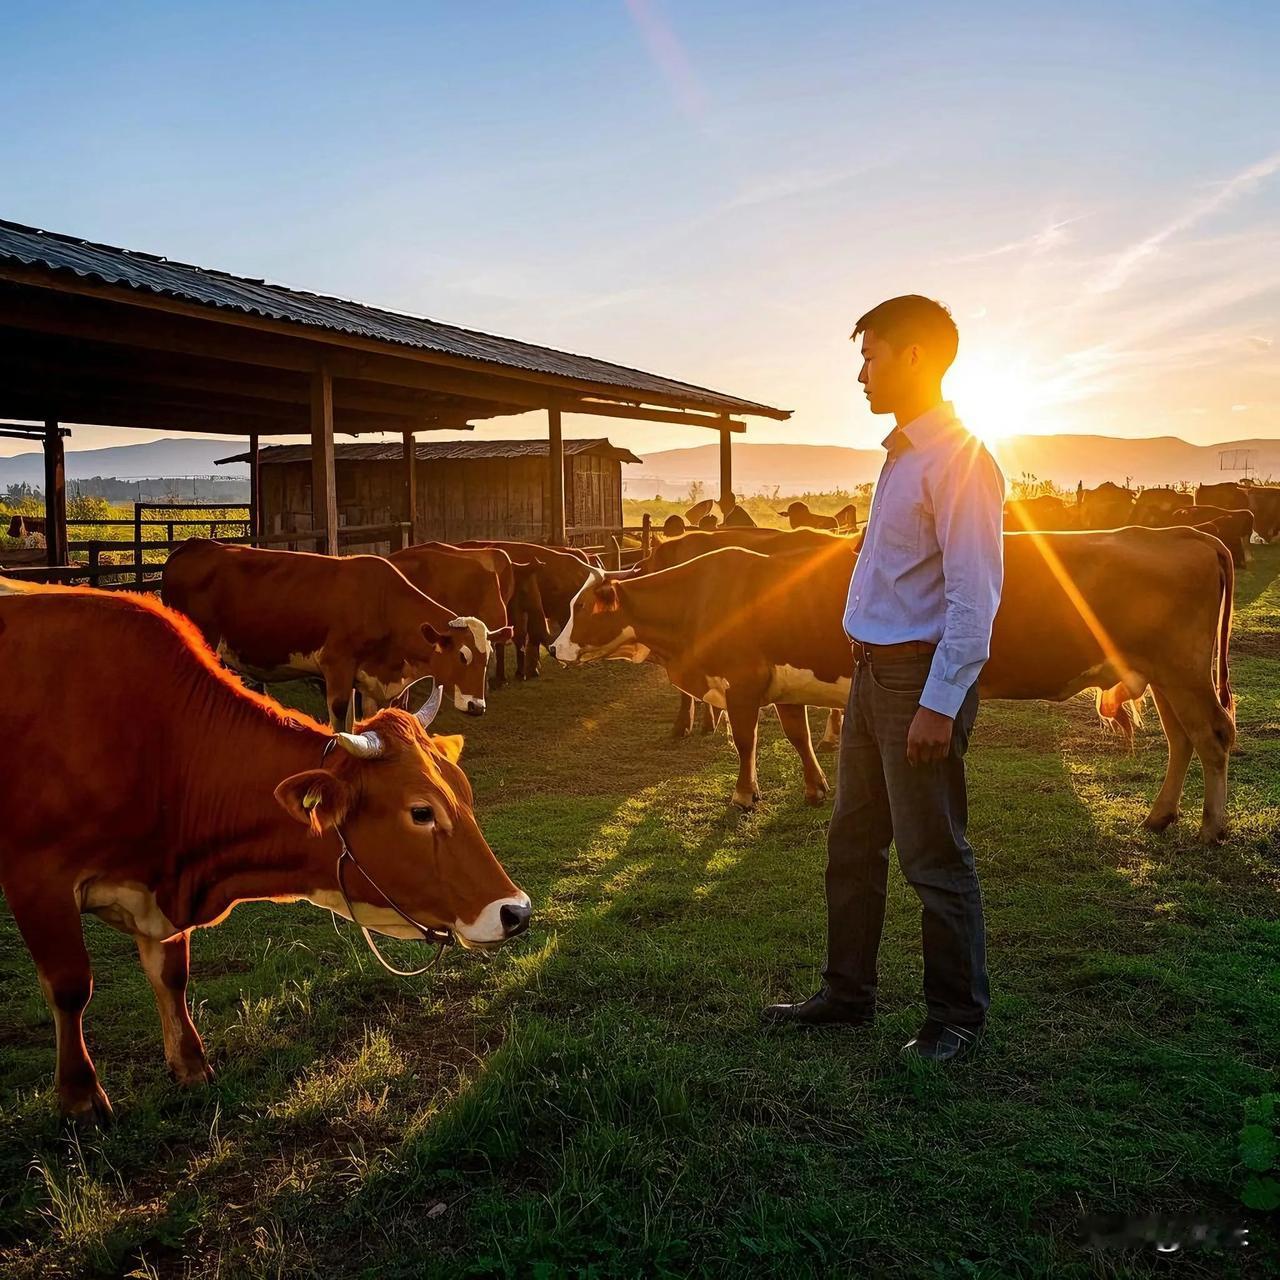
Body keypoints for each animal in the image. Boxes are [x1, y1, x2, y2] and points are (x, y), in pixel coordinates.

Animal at [165, 537, 494, 727]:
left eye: (486, 658)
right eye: (462, 656)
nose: (477, 706)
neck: (381, 601)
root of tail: (194, 545)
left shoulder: (370, 682)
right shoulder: (337, 667)